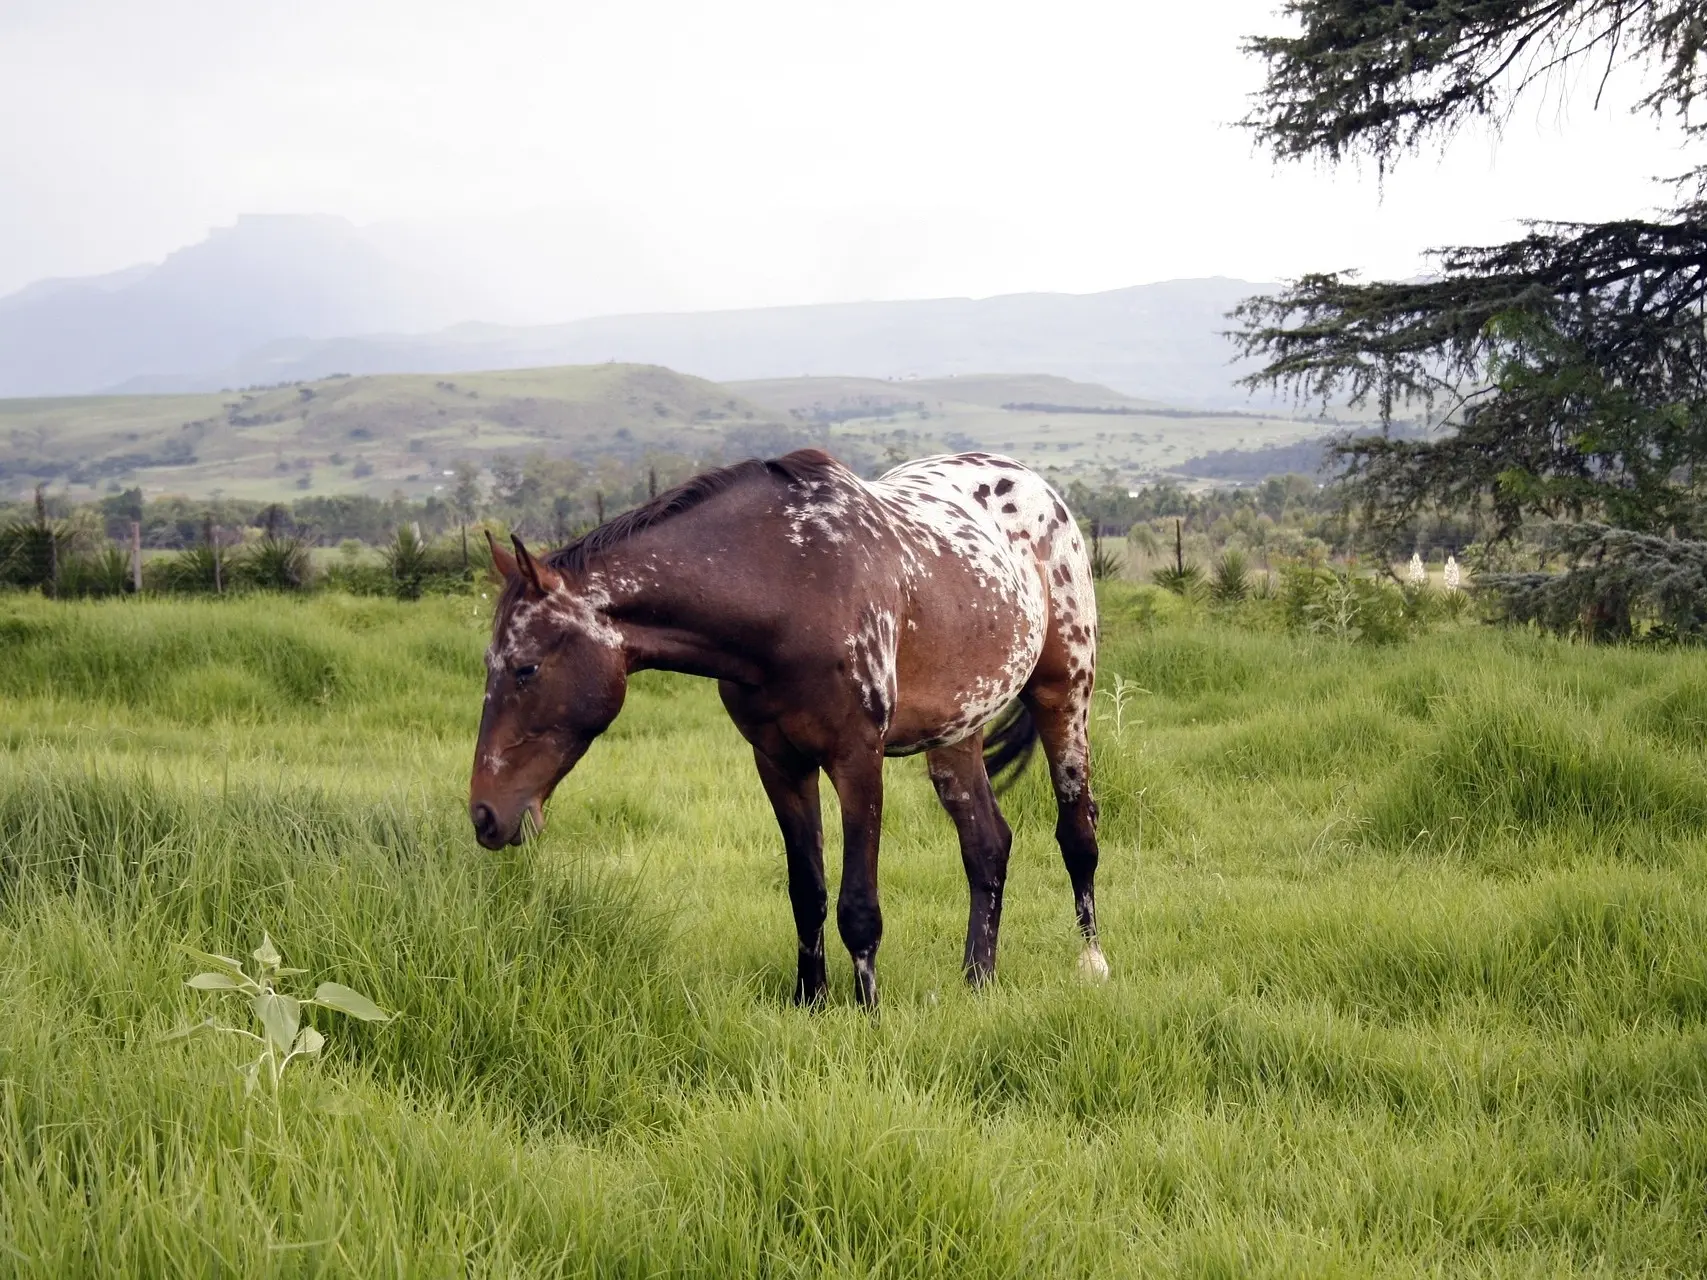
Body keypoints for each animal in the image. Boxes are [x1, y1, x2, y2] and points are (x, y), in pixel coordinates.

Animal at [467, 450, 1106, 1010]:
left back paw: (1091, 963)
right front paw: (812, 1002)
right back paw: (977, 980)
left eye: (526, 668)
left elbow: (858, 906)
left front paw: (869, 1014)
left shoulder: (857, 758)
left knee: (1077, 834)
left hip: (1064, 696)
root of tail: (1033, 485)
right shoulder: (779, 762)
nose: (485, 815)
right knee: (987, 847)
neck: (792, 586)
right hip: (956, 733)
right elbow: (808, 892)